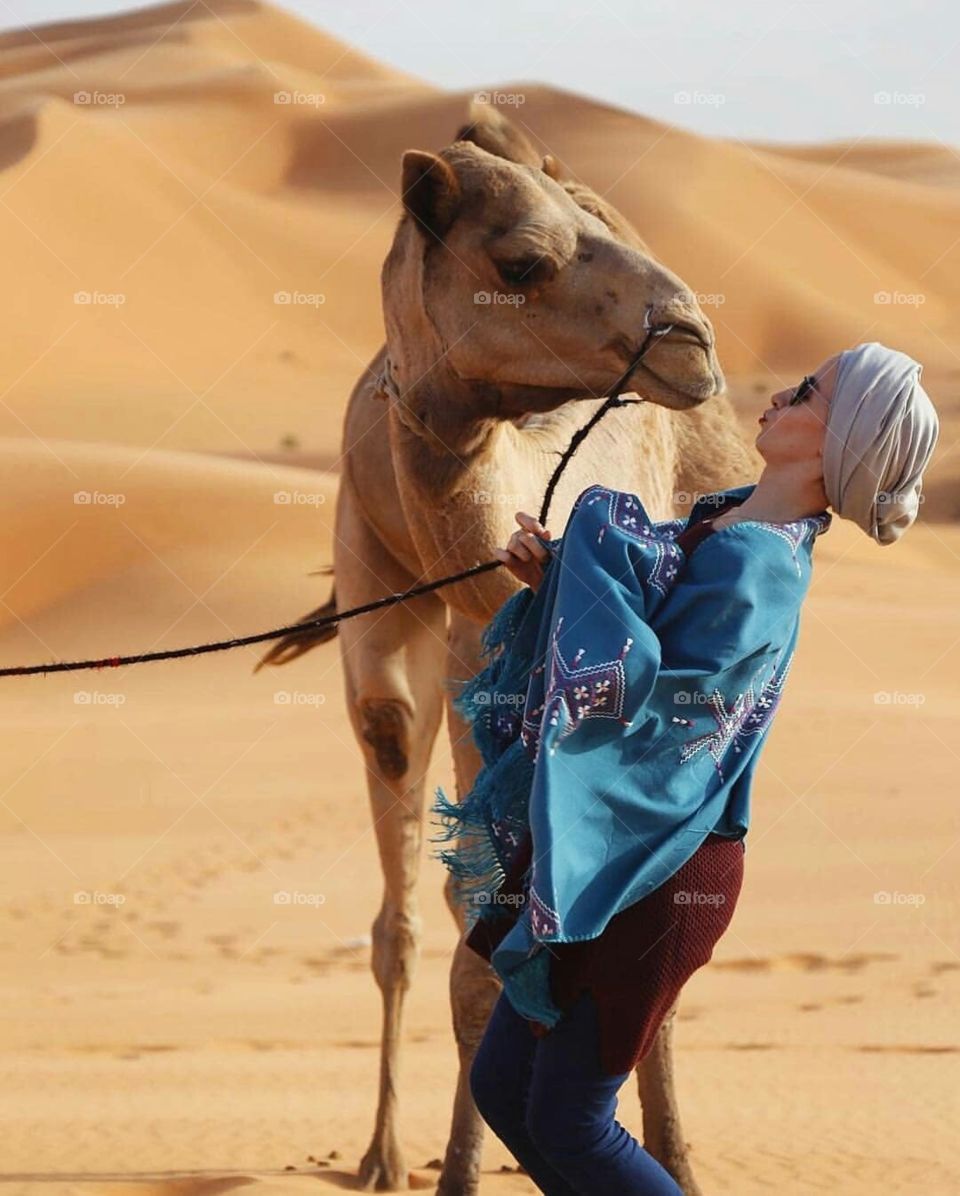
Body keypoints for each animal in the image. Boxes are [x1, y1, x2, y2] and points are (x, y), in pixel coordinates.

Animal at [262, 104, 758, 1194]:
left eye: (600, 228)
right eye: (522, 262)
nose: (690, 336)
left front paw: (667, 1154)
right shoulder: (450, 652)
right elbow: (469, 920)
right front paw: (451, 1164)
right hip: (384, 625)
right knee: (412, 902)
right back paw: (384, 1151)